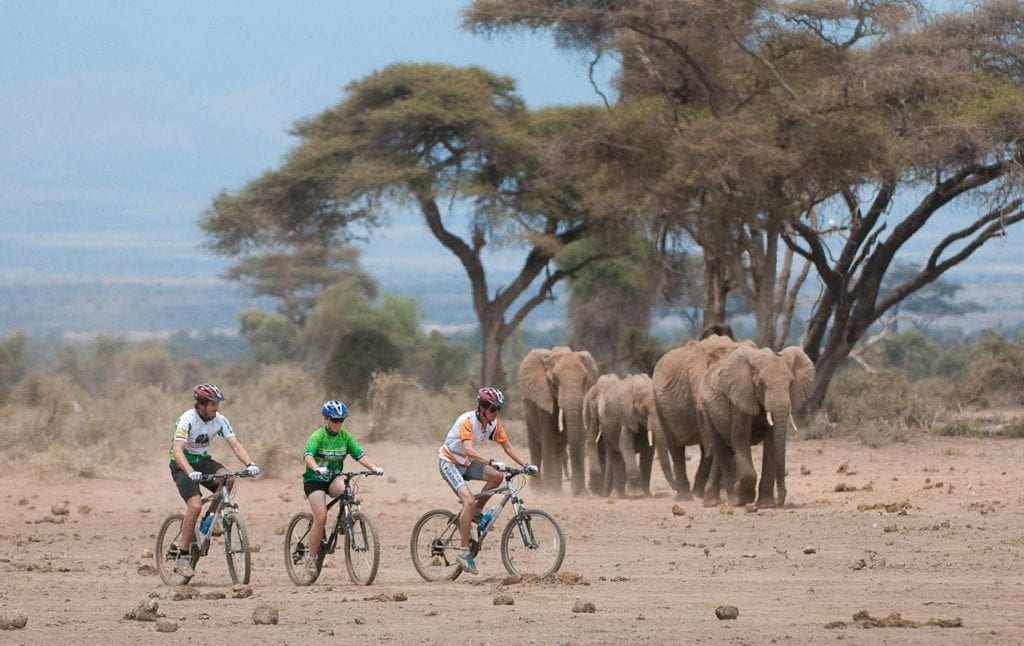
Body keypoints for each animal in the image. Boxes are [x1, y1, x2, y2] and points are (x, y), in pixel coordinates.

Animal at [517, 346, 599, 494]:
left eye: (585, 379)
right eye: (555, 379)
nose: (578, 491)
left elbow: (579, 434)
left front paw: (581, 494)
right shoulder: (543, 394)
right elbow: (548, 434)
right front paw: (549, 491)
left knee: (559, 448)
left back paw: (558, 489)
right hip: (528, 408)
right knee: (536, 445)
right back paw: (538, 489)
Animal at [697, 345, 816, 508]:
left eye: (791, 383)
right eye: (761, 384)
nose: (780, 501)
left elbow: (771, 443)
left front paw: (766, 505)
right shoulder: (740, 398)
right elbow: (740, 438)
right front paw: (744, 497)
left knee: (725, 449)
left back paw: (712, 502)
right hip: (706, 409)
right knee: (720, 446)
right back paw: (732, 500)